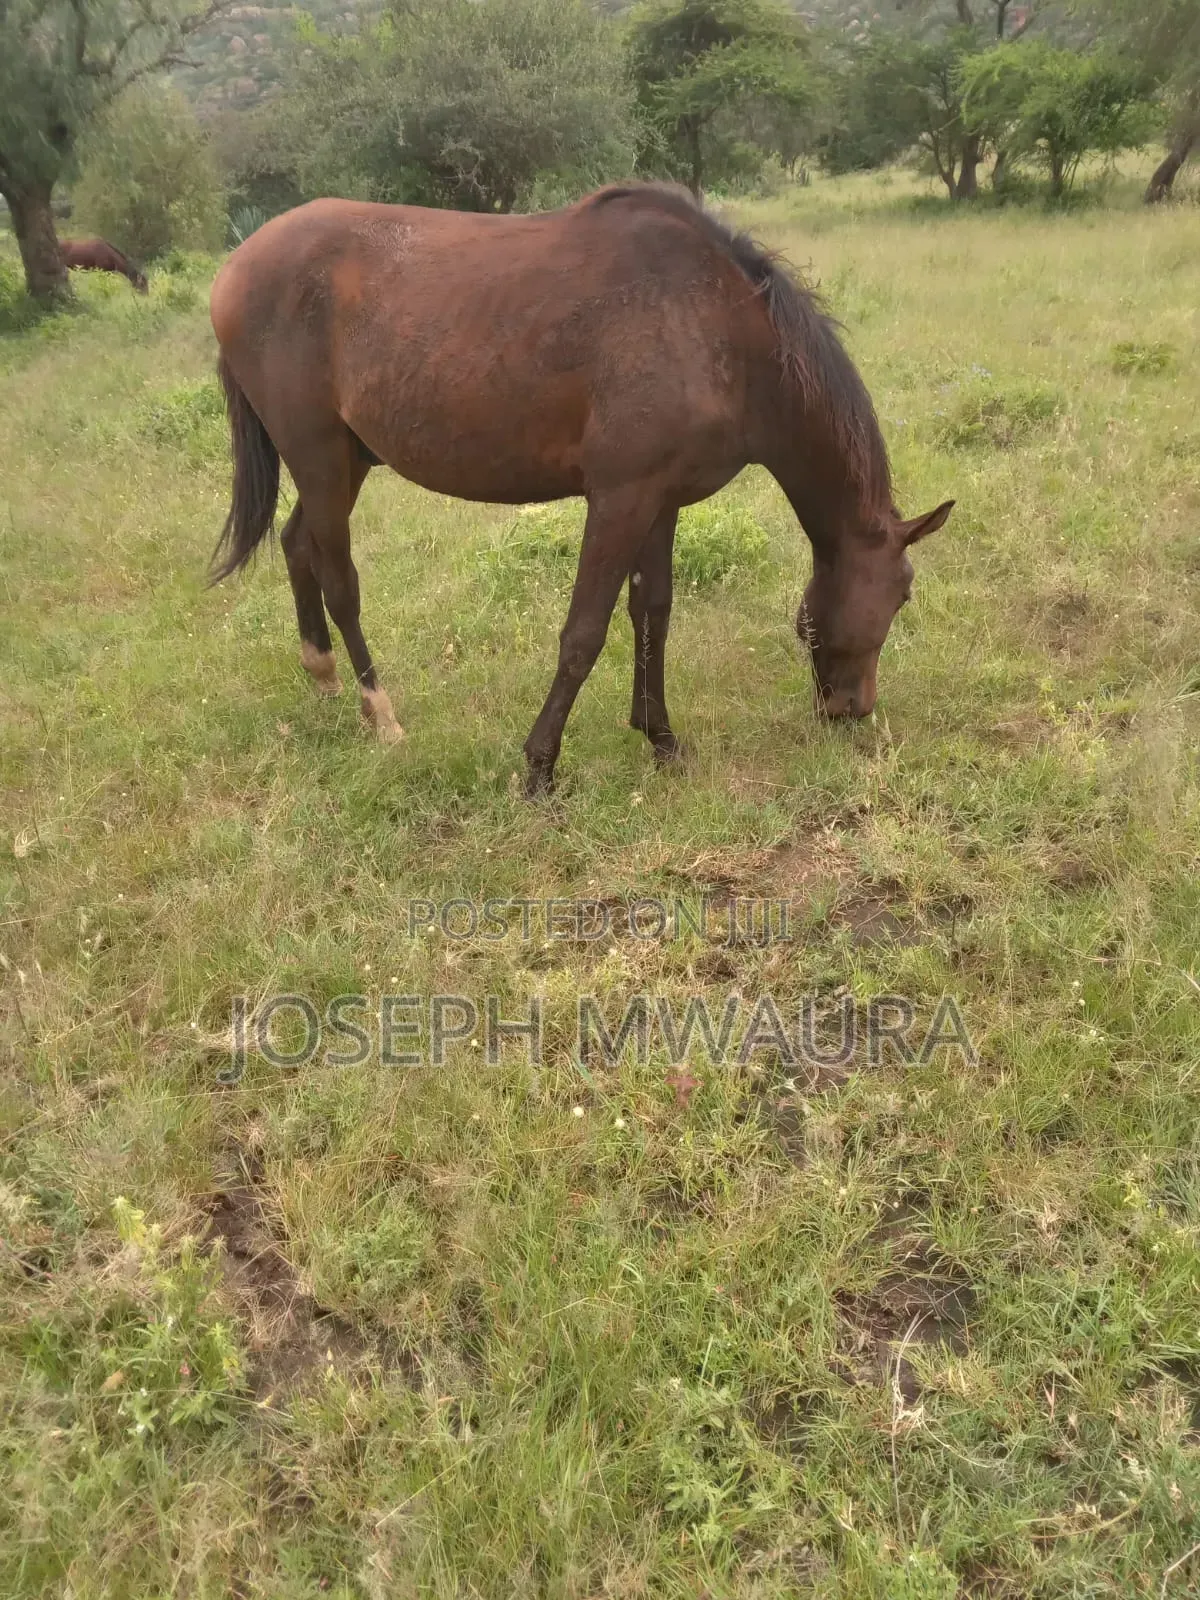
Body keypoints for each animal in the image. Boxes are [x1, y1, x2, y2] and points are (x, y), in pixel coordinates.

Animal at [209, 183, 953, 796]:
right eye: (903, 595)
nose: (852, 709)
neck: (713, 322)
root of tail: (233, 269)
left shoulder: (660, 500)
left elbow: (653, 613)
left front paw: (662, 741)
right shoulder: (619, 498)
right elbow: (584, 632)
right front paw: (540, 767)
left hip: (347, 460)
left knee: (297, 545)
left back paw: (323, 680)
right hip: (318, 457)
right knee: (338, 579)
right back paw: (381, 714)